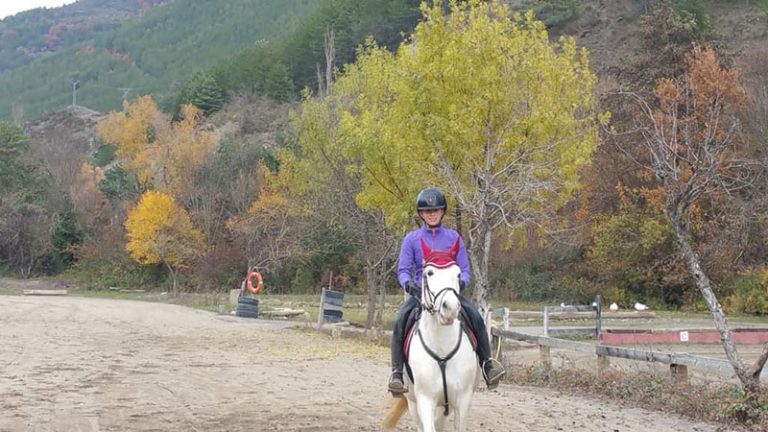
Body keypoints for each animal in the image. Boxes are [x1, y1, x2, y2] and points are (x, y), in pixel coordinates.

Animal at [384, 238, 480, 430]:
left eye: (458, 274)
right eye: (429, 273)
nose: (450, 307)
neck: (442, 347)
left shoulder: (462, 400)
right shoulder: (425, 400)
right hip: (413, 402)